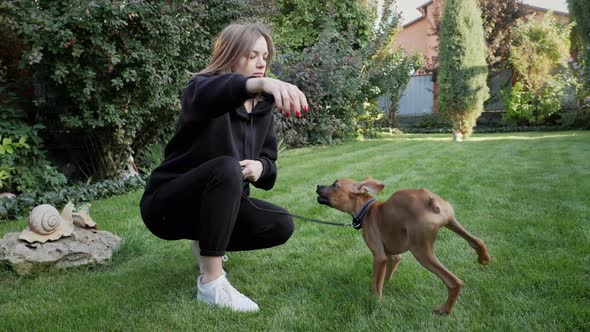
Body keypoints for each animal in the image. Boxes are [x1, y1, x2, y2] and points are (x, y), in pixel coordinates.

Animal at [316, 176, 492, 314]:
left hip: (421, 251)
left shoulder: (379, 257)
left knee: (454, 282)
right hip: (451, 222)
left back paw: (444, 310)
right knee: (477, 241)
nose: (317, 186)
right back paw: (484, 258)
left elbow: (376, 284)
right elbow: (385, 276)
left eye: (335, 185)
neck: (367, 209)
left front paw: (376, 302)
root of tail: (430, 200)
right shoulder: (393, 256)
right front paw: (386, 285)